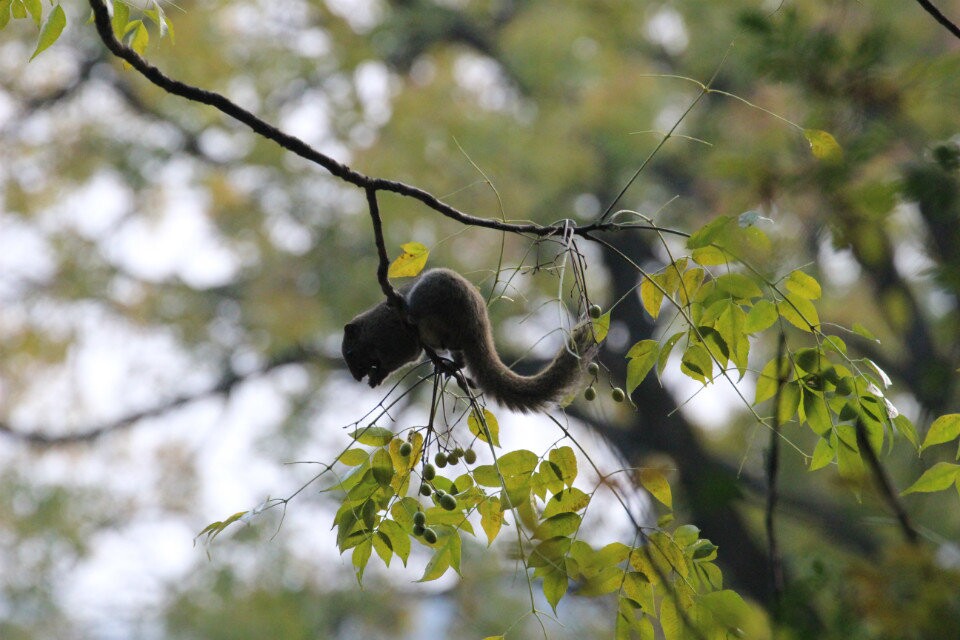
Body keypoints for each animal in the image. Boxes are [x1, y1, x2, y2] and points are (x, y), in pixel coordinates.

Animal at [342, 268, 596, 412]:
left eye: (350, 353)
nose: (355, 377)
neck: (371, 333)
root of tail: (478, 325)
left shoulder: (397, 341)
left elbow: (399, 358)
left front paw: (378, 374)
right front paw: (376, 376)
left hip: (434, 298)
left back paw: (406, 308)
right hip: (452, 339)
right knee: (460, 357)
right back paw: (451, 367)